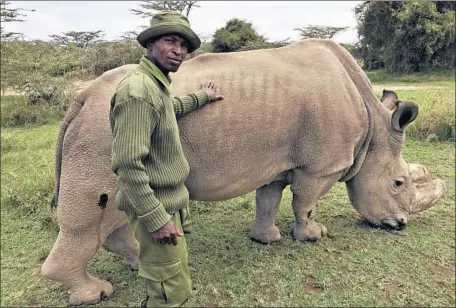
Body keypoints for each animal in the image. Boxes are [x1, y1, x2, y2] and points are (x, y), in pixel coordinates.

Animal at [40, 39, 446, 306]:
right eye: (398, 183)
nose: (400, 225)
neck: (374, 130)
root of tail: (80, 99)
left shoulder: (277, 160)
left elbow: (268, 199)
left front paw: (267, 239)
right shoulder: (321, 166)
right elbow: (306, 202)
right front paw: (312, 235)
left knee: (119, 213)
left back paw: (141, 259)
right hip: (101, 135)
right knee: (93, 216)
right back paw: (97, 293)